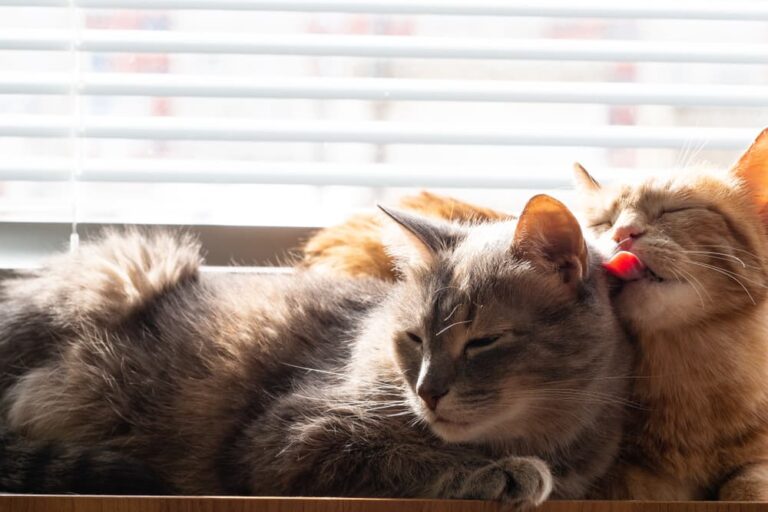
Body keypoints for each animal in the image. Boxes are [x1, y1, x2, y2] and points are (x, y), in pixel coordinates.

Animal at [0, 195, 632, 504]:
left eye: (483, 341)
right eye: (413, 338)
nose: (426, 391)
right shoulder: (292, 437)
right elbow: (405, 457)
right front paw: (499, 473)